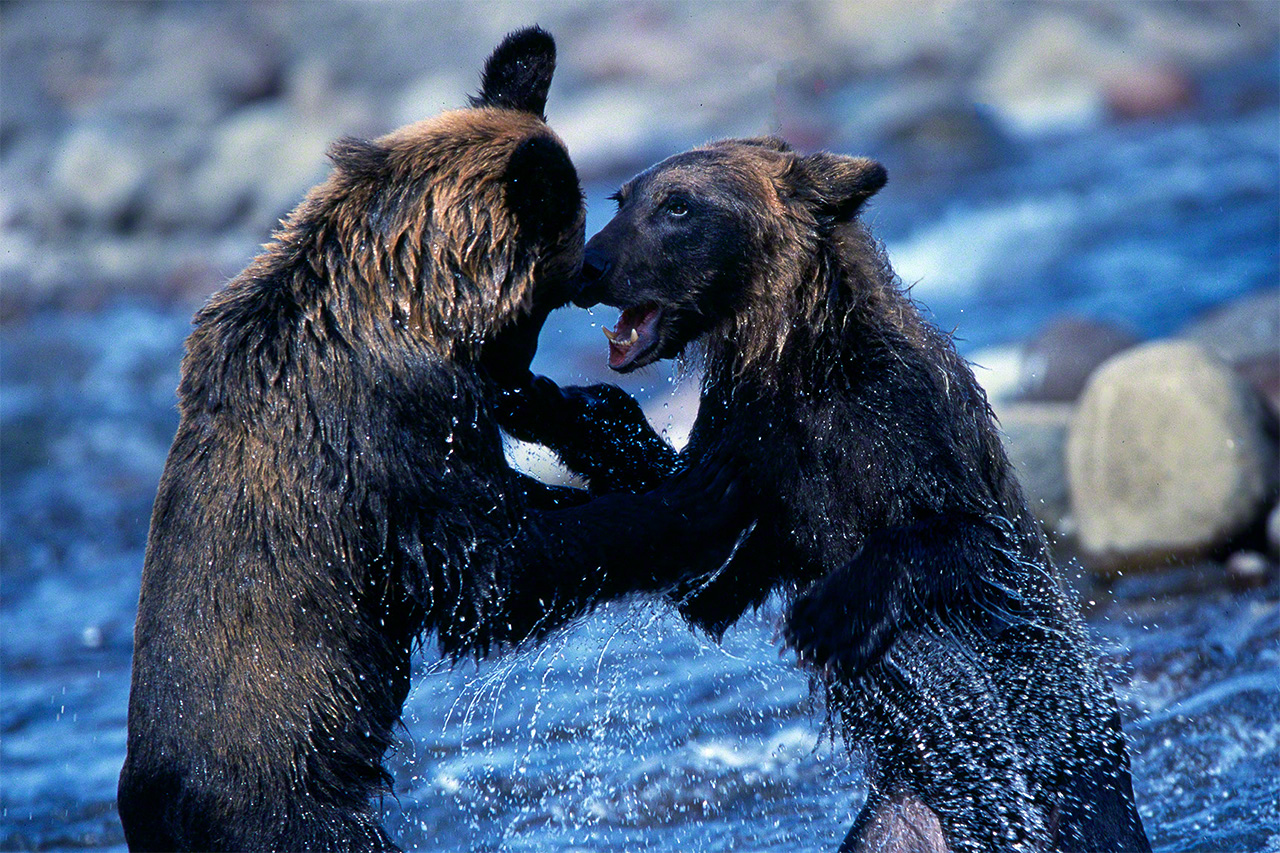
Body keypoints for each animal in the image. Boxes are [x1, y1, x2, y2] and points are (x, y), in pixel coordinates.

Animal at [116, 29, 745, 853]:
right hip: (292, 801)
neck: (403, 308)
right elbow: (499, 566)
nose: (517, 377)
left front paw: (606, 425)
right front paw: (700, 500)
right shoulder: (389, 451)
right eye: (563, 286)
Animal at [521, 137, 1151, 852]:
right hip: (897, 821)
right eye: (622, 198)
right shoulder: (752, 451)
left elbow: (966, 537)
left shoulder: (905, 423)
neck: (800, 360)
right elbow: (698, 554)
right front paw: (559, 404)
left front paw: (831, 614)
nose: (587, 267)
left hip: (1069, 803)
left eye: (677, 205)